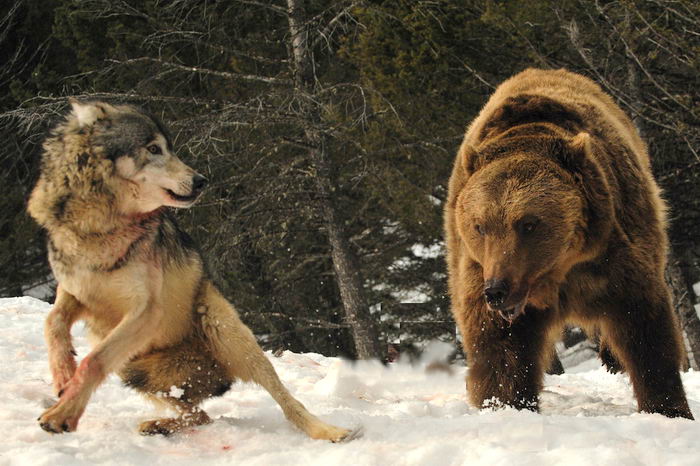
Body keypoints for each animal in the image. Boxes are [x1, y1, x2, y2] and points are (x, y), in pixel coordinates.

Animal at [28, 100, 356, 438]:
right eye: (154, 148)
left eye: (168, 148)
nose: (201, 181)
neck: (99, 229)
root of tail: (216, 376)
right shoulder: (76, 292)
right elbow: (53, 323)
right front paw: (63, 376)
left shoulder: (146, 310)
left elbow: (93, 361)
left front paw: (61, 414)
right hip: (135, 369)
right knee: (200, 415)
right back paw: (158, 425)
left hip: (226, 332)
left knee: (285, 401)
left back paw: (330, 431)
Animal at [446, 68, 692, 418]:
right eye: (479, 226)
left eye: (529, 223)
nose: (497, 290)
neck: (559, 269)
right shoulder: (477, 268)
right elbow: (500, 347)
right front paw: (505, 404)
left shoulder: (617, 253)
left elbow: (645, 329)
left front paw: (668, 408)